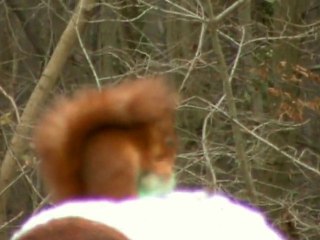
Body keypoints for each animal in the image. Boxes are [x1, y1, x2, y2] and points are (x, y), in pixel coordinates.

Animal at [33, 77, 179, 202]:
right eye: (167, 136)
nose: (172, 147)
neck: (144, 134)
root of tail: (88, 197)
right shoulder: (144, 150)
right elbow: (149, 162)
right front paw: (164, 170)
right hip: (122, 170)